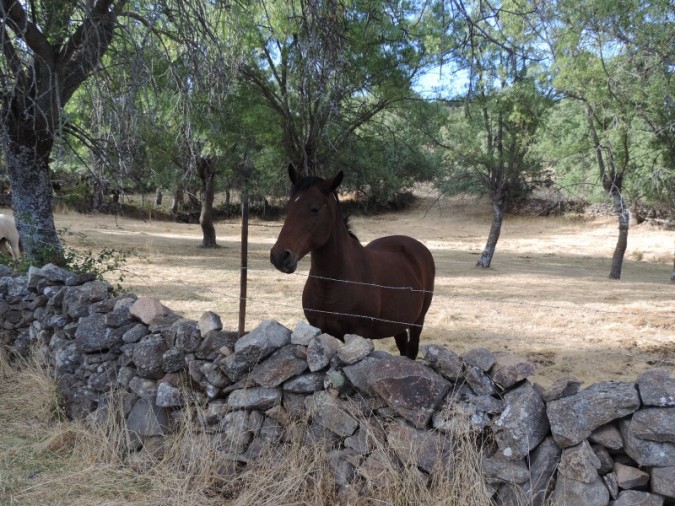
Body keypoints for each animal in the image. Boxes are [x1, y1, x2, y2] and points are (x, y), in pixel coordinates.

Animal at [272, 166, 436, 360]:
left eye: (314, 209)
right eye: (288, 207)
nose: (280, 256)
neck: (333, 283)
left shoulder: (359, 334)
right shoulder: (319, 330)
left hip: (418, 321)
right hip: (397, 323)